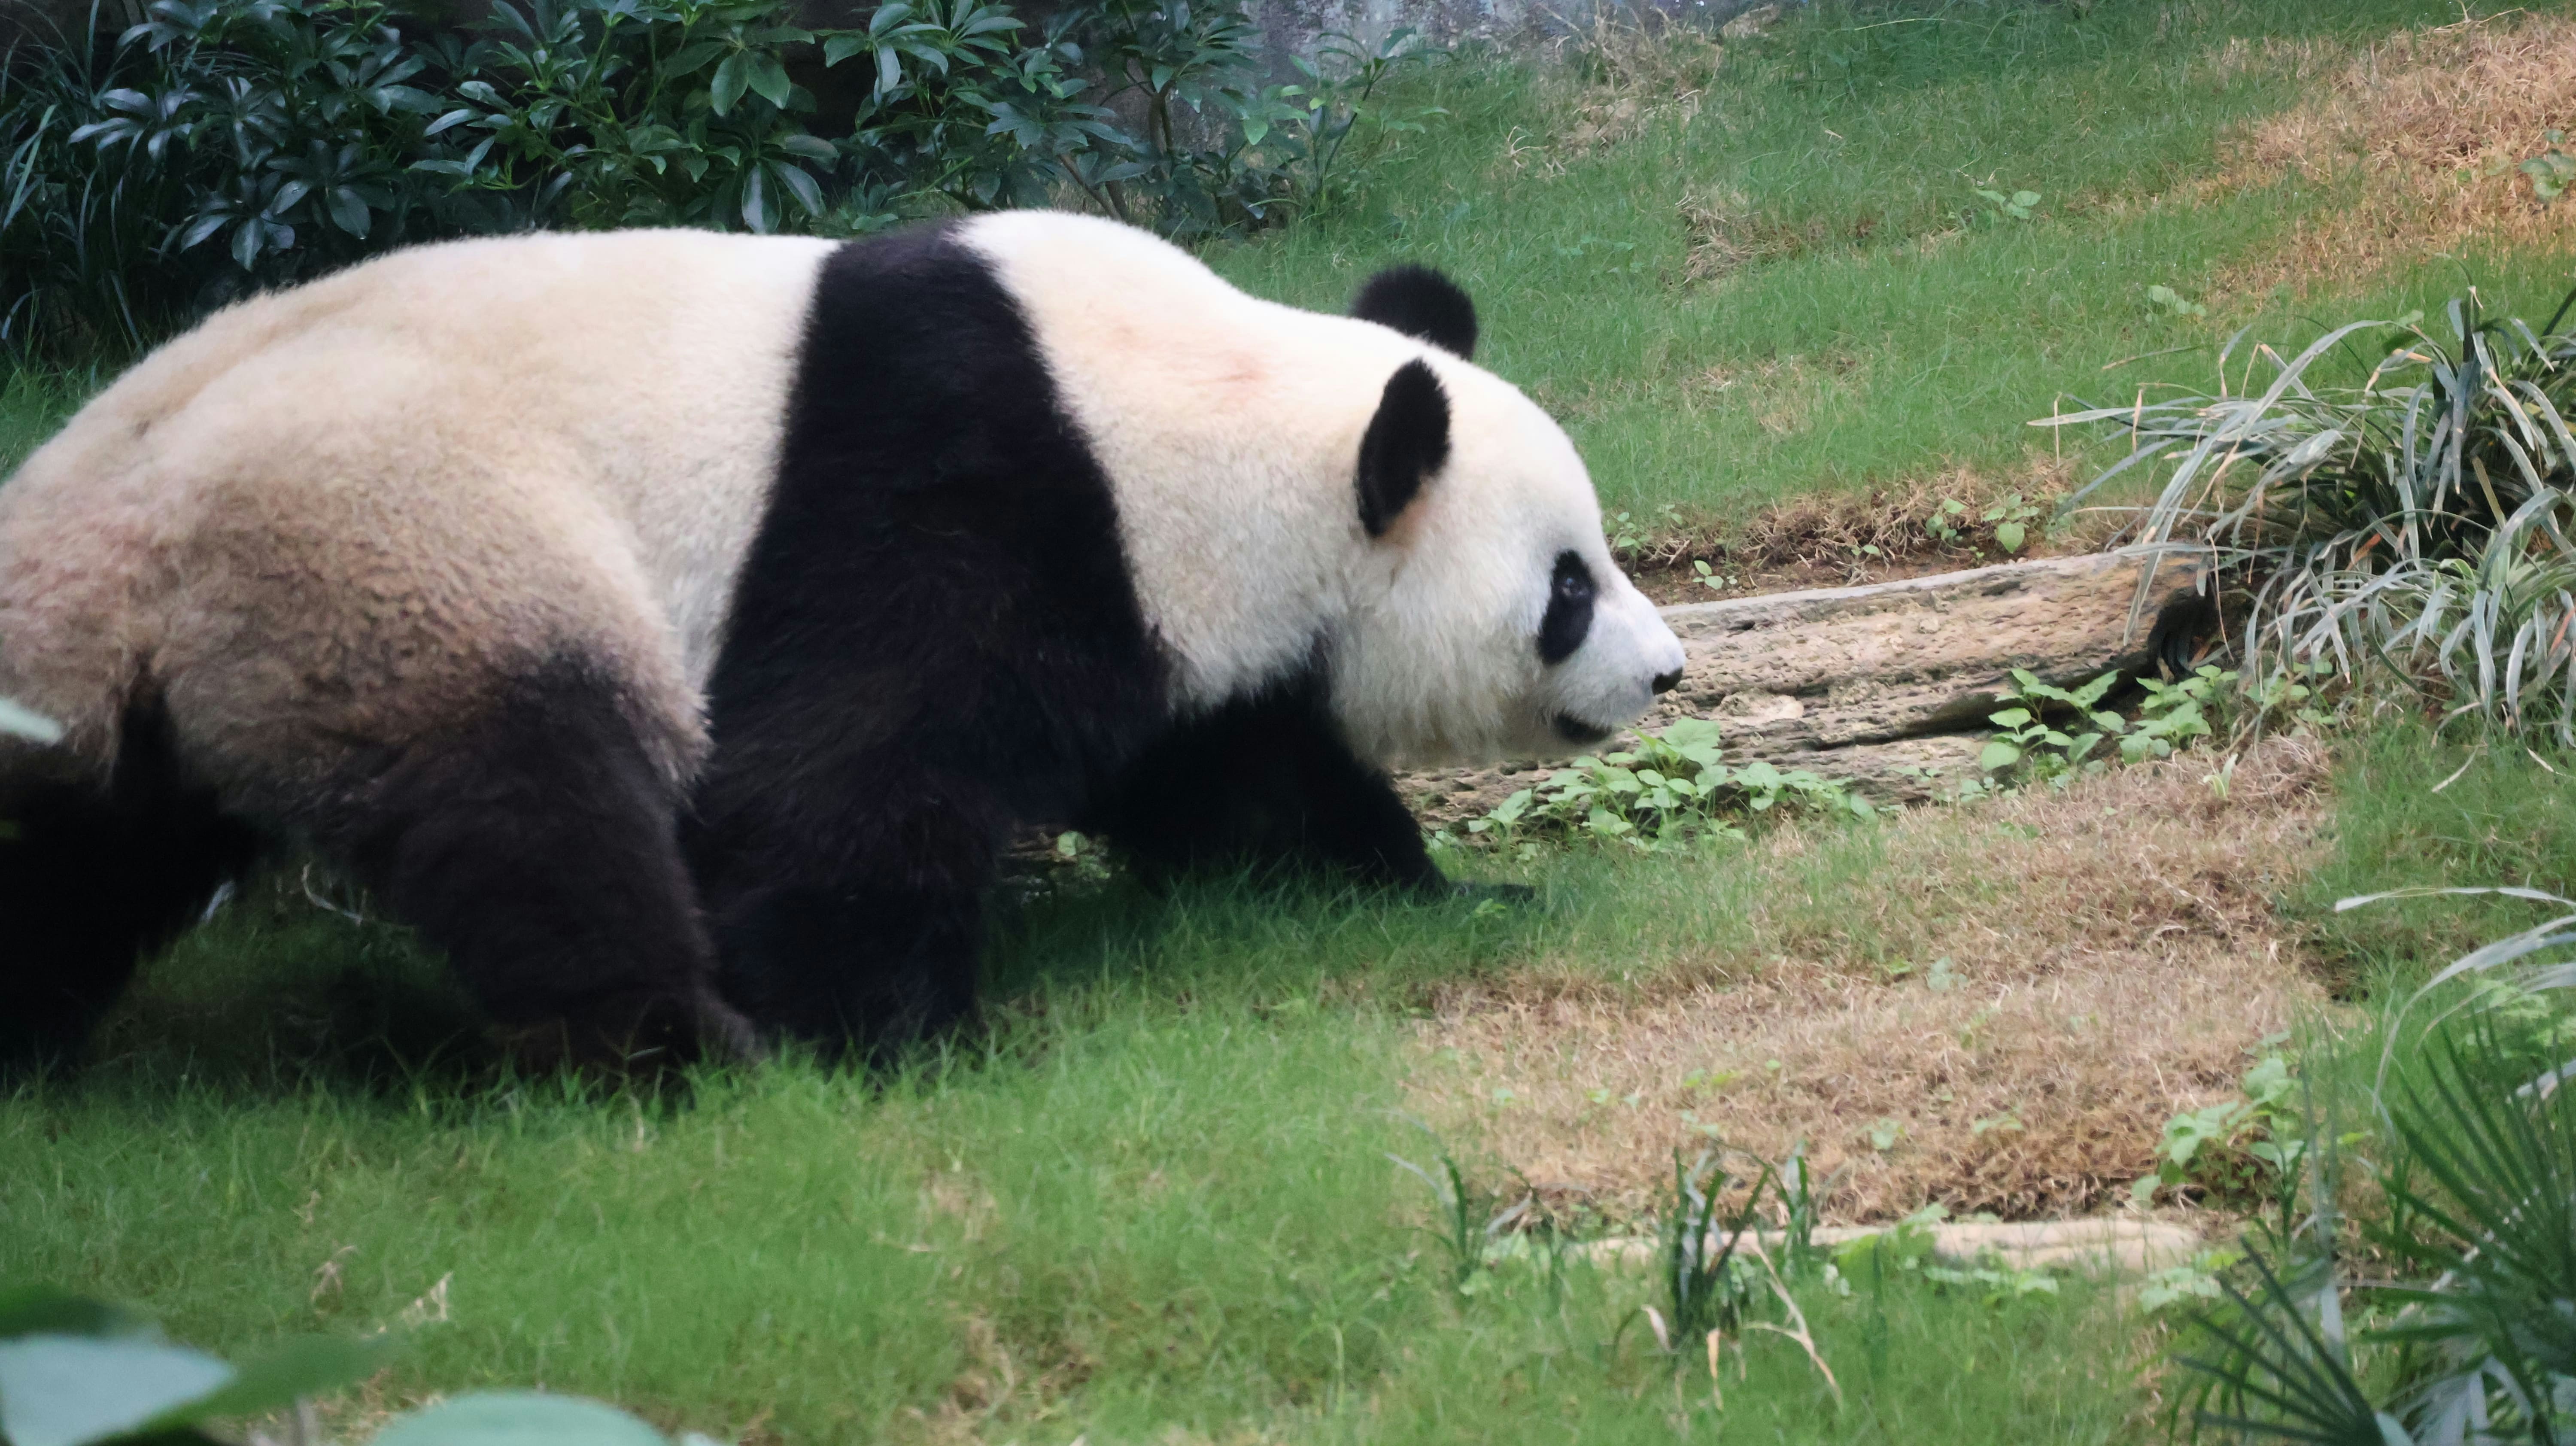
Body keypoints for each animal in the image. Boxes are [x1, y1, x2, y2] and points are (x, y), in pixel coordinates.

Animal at [0, 211, 1690, 1072]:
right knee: (534, 795)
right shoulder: (959, 478)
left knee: (86, 845)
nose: (1667, 671)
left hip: (189, 652)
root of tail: (106, 533)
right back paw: (683, 1042)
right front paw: (895, 1034)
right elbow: (839, 769)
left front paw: (1443, 889)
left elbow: (1240, 775)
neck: (1199, 405)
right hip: (397, 545)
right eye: (1568, 586)